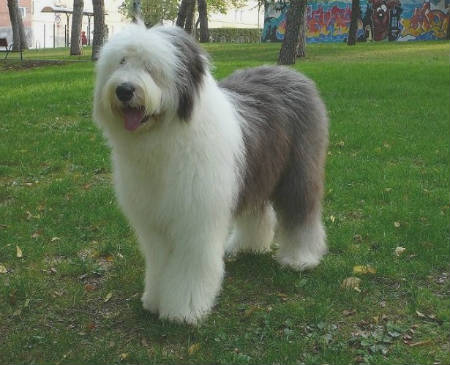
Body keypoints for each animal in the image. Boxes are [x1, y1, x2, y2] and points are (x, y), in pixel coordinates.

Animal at [93, 23, 328, 324]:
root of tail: (290, 72)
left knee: (301, 211)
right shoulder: (154, 221)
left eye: (151, 66)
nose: (124, 90)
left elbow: (190, 265)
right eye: (121, 61)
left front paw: (183, 309)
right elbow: (159, 262)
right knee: (258, 211)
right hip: (254, 170)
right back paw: (248, 245)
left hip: (298, 169)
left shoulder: (196, 219)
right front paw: (154, 300)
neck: (165, 139)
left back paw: (301, 258)